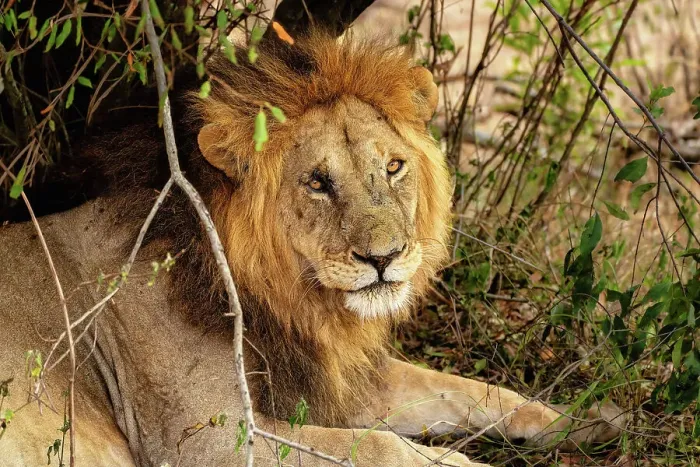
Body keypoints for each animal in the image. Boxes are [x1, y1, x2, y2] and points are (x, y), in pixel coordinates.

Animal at [0, 32, 624, 466]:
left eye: (393, 167)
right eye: (318, 183)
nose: (384, 258)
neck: (287, 299)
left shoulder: (331, 379)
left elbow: (471, 391)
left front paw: (586, 421)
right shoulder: (210, 439)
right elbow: (381, 447)